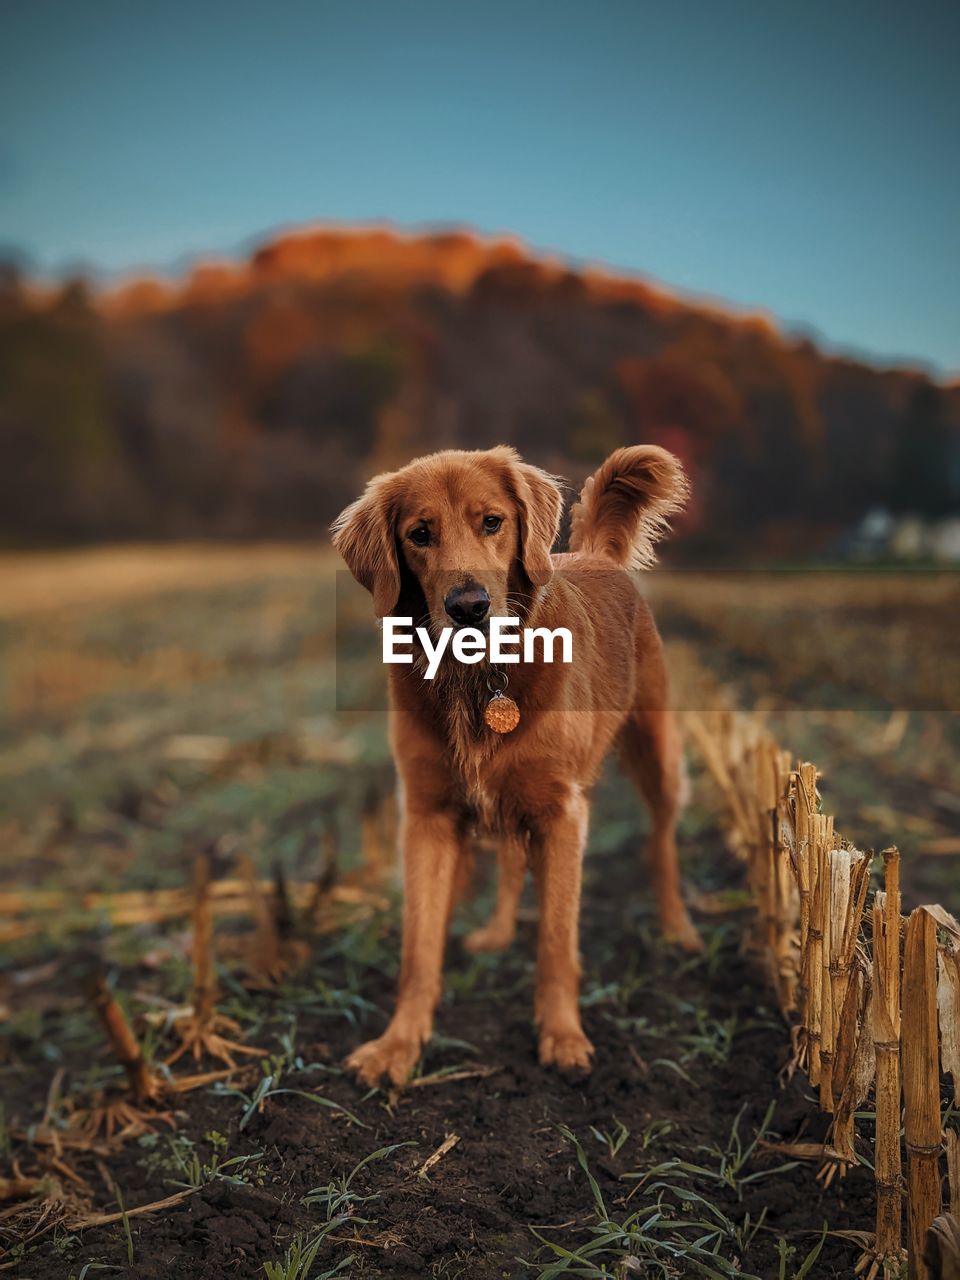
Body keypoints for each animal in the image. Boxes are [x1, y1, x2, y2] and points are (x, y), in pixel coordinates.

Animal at [335, 445, 701, 1085]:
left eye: (492, 522)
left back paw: (678, 928)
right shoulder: (427, 817)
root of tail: (595, 553)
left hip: (656, 751)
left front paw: (562, 1037)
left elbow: (556, 940)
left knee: (660, 841)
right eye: (419, 534)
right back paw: (497, 932)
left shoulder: (561, 813)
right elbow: (418, 947)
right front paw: (398, 1044)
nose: (469, 607)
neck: (478, 680)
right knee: (510, 858)